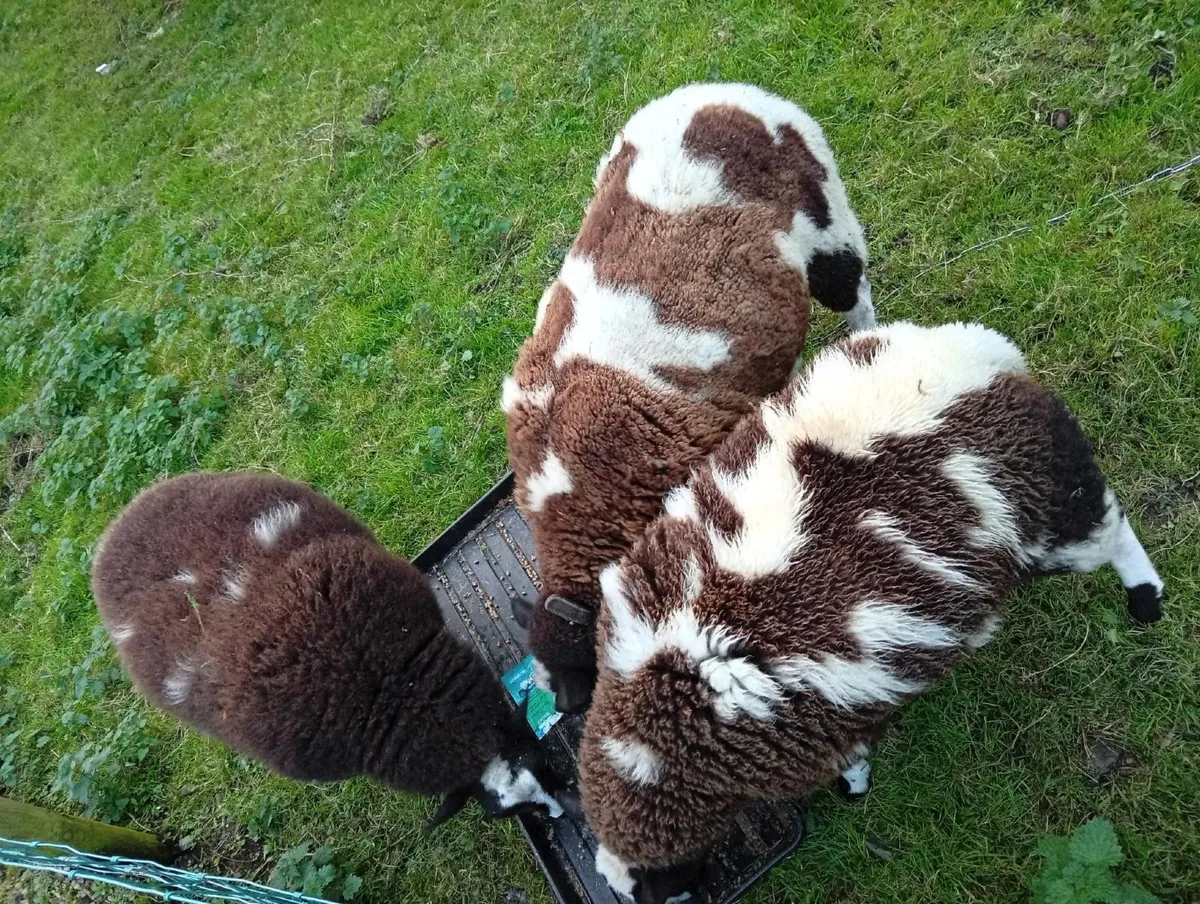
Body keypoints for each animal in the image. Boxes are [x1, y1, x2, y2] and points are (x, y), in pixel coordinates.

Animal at [575, 321, 1166, 903]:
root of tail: (979, 352)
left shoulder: (826, 732)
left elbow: (853, 755)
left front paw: (856, 785)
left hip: (1052, 497)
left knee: (1113, 530)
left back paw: (1147, 601)